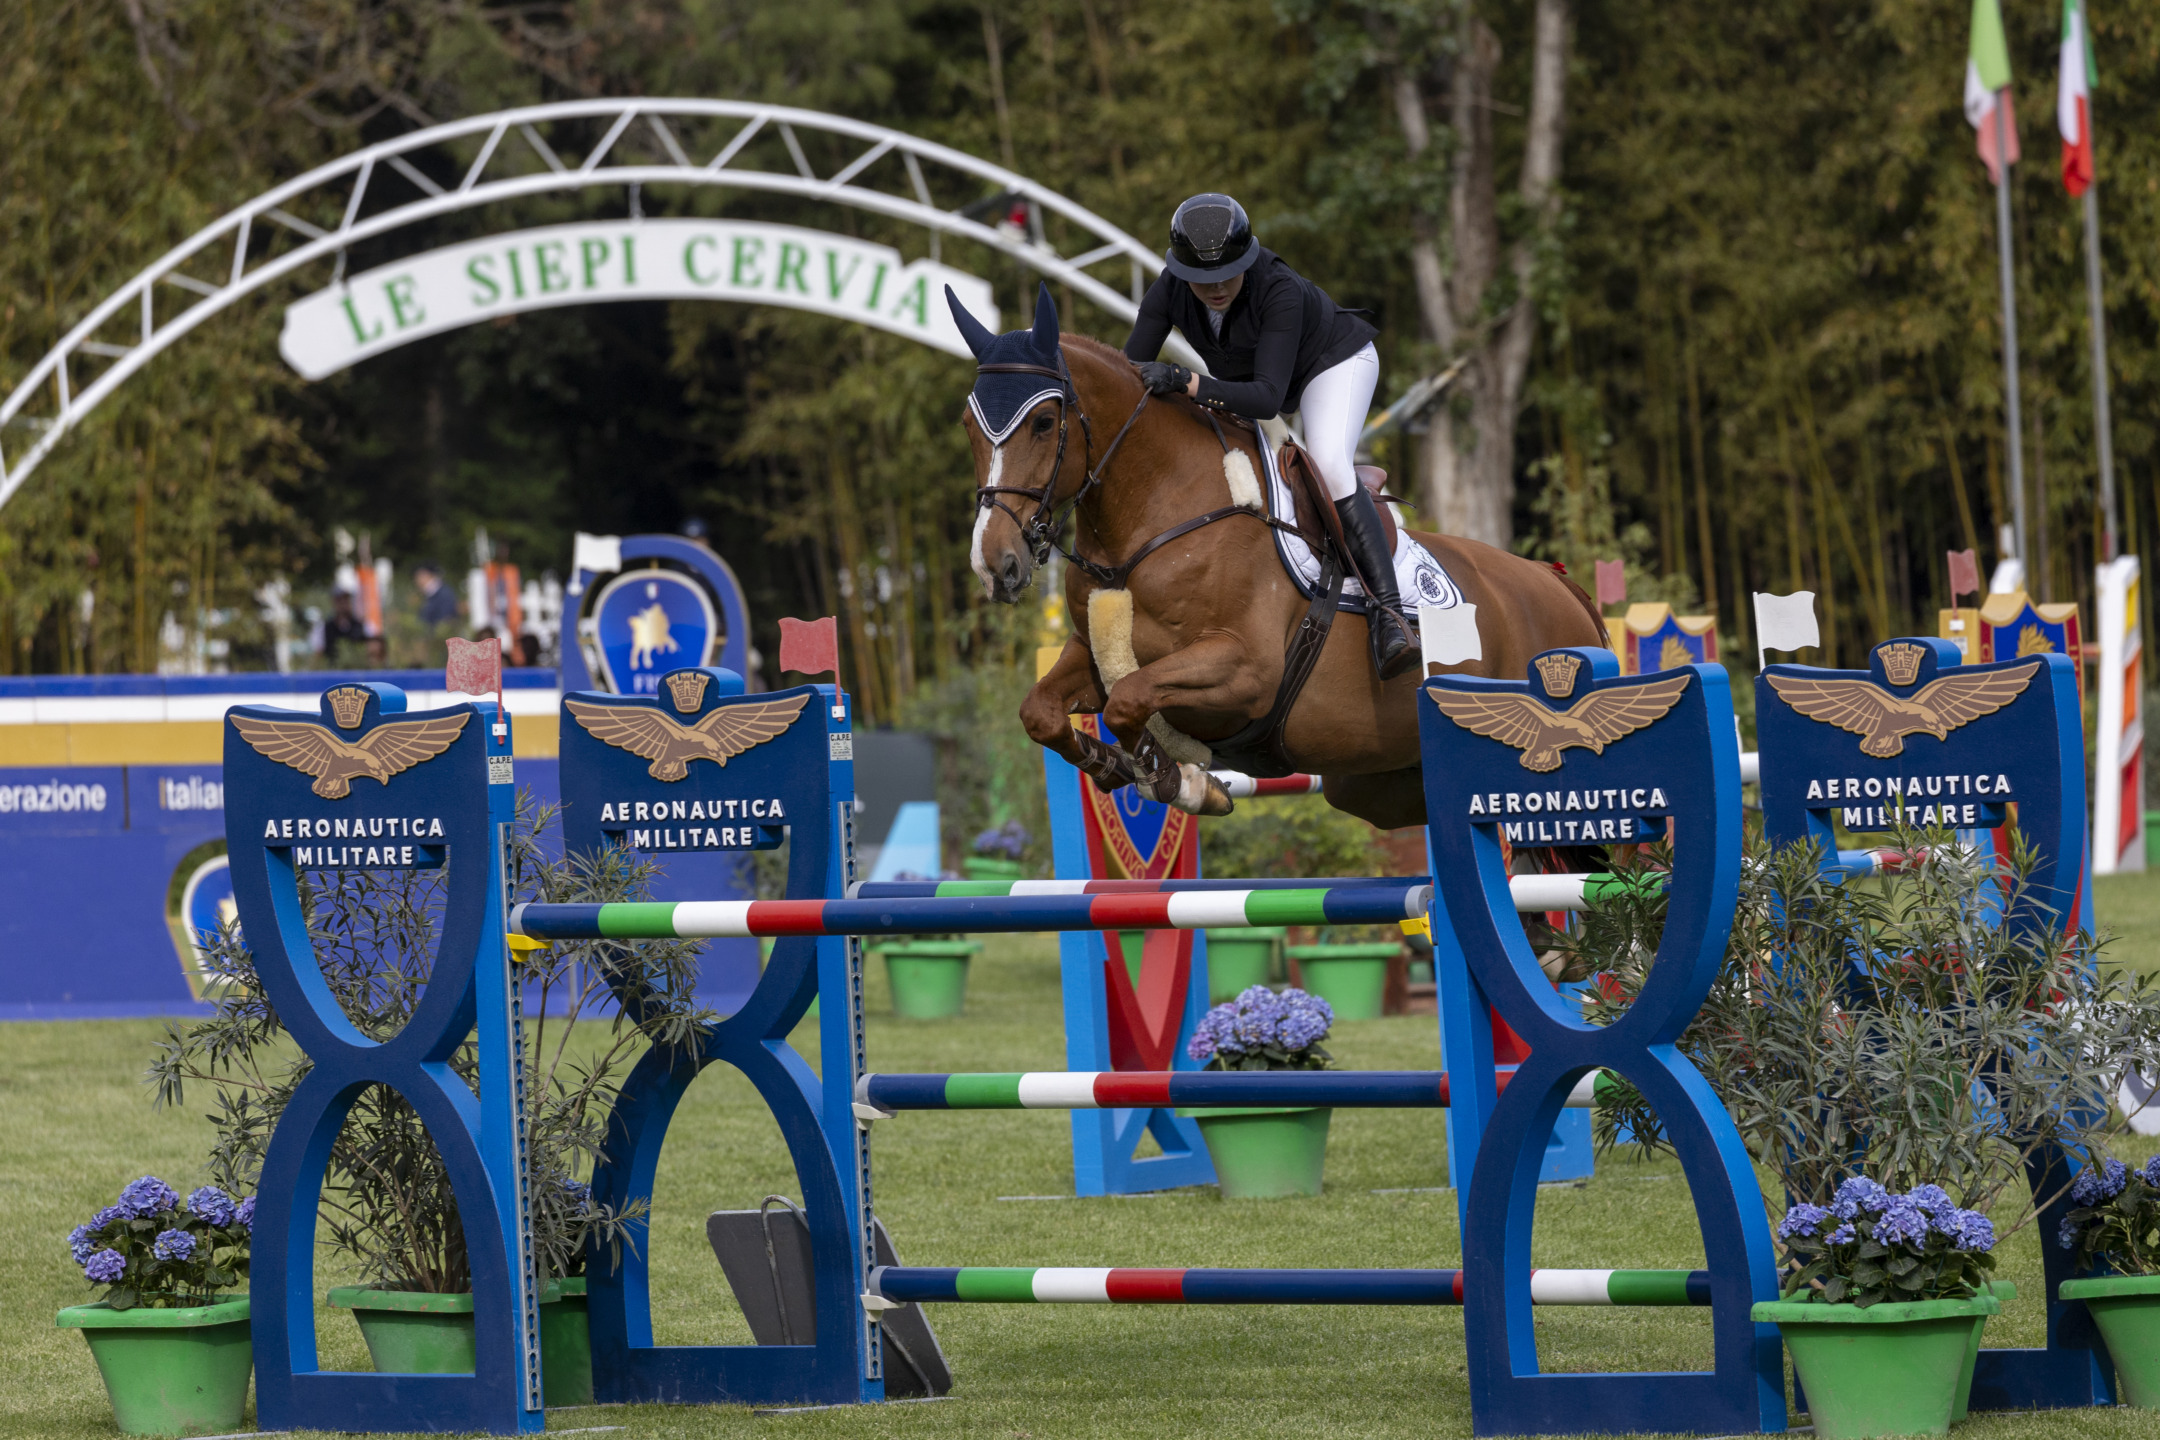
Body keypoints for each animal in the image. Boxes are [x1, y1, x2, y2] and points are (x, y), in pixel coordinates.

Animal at [959, 287, 1607, 829]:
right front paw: (1115, 767)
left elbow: (1128, 701)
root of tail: (1559, 584)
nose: (996, 564)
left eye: (1045, 422)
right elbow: (1041, 711)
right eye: (968, 425)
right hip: (1375, 783)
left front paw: (1179, 781)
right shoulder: (1093, 653)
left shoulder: (1246, 672)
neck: (1153, 516)